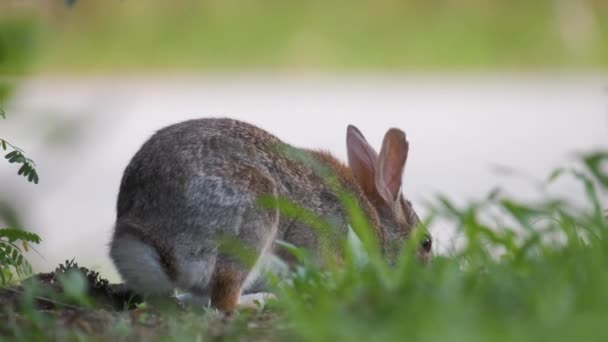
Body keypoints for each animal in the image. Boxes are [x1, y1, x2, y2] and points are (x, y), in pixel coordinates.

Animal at [110, 117, 432, 312]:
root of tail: (153, 243)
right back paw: (259, 302)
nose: (424, 275)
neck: (374, 225)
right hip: (253, 224)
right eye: (426, 243)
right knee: (223, 300)